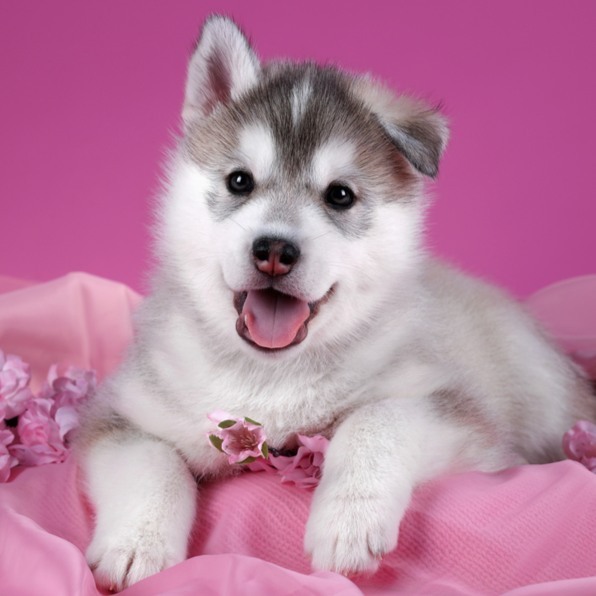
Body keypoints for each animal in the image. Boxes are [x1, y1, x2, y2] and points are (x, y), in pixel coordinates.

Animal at [78, 15, 592, 592]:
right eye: (239, 181)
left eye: (340, 195)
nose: (274, 251)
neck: (271, 377)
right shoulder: (124, 412)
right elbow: (151, 463)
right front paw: (135, 544)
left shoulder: (454, 411)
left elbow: (375, 420)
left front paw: (349, 520)